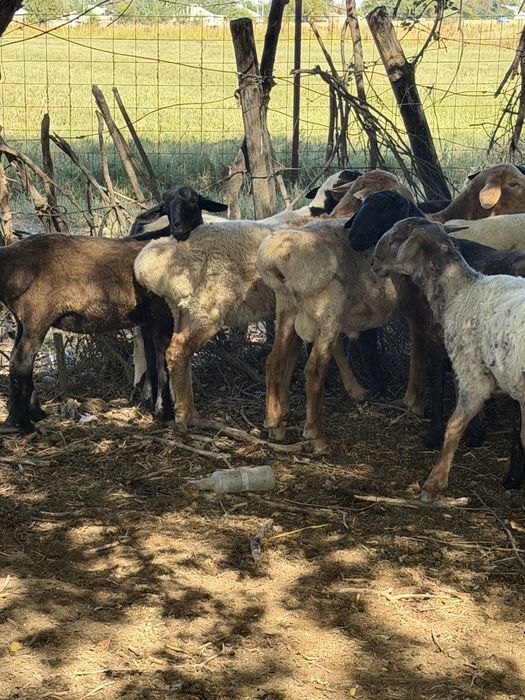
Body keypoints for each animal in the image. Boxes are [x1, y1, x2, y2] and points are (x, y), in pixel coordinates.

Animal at [1, 186, 226, 433]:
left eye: (194, 200)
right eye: (165, 206)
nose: (178, 227)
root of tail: (8, 257)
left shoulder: (147, 320)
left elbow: (151, 360)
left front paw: (150, 403)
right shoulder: (161, 315)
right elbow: (161, 361)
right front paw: (164, 411)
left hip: (22, 319)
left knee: (16, 361)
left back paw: (27, 414)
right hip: (37, 316)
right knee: (22, 362)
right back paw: (24, 423)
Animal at [371, 218, 525, 501]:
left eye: (396, 238)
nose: (373, 262)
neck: (462, 290)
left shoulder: (472, 375)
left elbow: (453, 427)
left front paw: (433, 484)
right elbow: (523, 437)